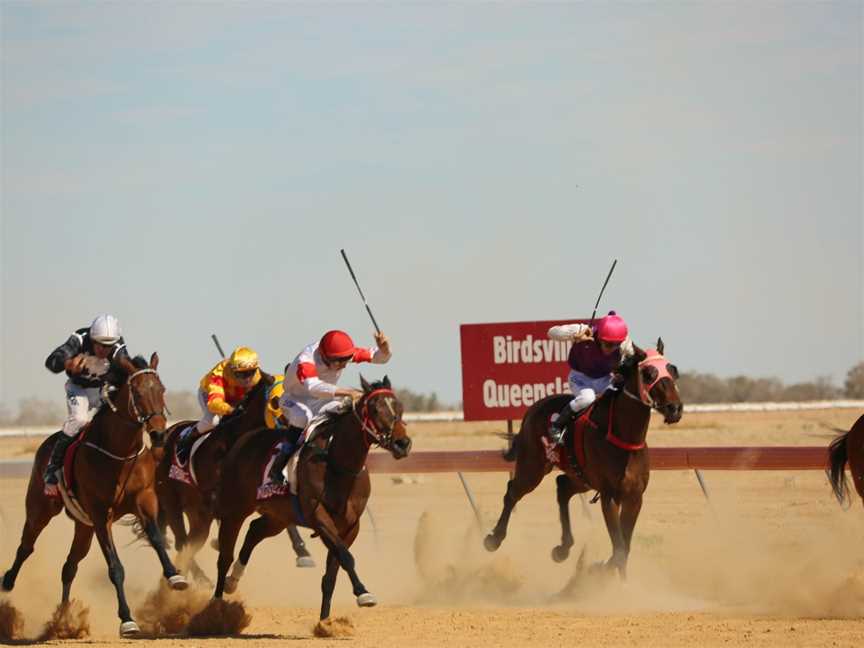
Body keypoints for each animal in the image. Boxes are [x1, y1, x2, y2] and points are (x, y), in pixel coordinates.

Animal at [0, 352, 184, 636]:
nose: (159, 433)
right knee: (26, 546)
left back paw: (63, 618)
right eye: (137, 392)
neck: (119, 453)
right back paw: (8, 581)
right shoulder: (100, 515)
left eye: (161, 389)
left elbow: (156, 539)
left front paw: (175, 576)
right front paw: (127, 619)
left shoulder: (143, 500)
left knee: (69, 567)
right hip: (41, 509)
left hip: (83, 528)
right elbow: (115, 567)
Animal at [159, 370, 314, 584]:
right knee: (182, 542)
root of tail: (168, 432)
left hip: (194, 511)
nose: (298, 431)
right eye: (277, 402)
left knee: (190, 542)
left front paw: (303, 553)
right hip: (172, 500)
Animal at [211, 378, 410, 620]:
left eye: (399, 408)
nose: (402, 443)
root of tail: (244, 439)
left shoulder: (350, 526)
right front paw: (363, 593)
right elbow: (346, 557)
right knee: (224, 556)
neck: (338, 465)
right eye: (375, 409)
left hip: (278, 516)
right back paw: (216, 606)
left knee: (255, 530)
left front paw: (325, 622)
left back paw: (232, 581)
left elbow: (331, 574)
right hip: (235, 510)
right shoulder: (319, 518)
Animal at [486, 342, 680, 580]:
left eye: (673, 370)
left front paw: (613, 578)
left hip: (581, 476)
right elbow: (619, 549)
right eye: (648, 373)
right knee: (513, 491)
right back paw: (494, 539)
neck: (624, 438)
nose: (675, 408)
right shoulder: (609, 496)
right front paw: (602, 573)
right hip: (533, 467)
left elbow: (624, 548)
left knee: (562, 486)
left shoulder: (634, 496)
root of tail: (534, 407)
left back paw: (563, 548)